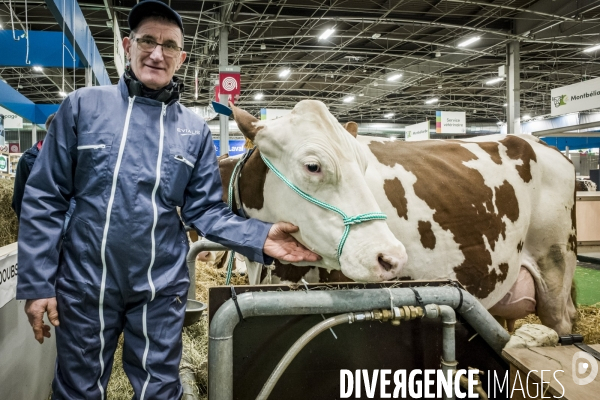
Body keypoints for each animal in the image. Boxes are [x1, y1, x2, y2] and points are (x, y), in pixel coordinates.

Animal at [216, 100, 576, 334]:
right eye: (313, 166)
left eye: (363, 164)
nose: (391, 258)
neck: (267, 269)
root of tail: (541, 143)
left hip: (555, 262)